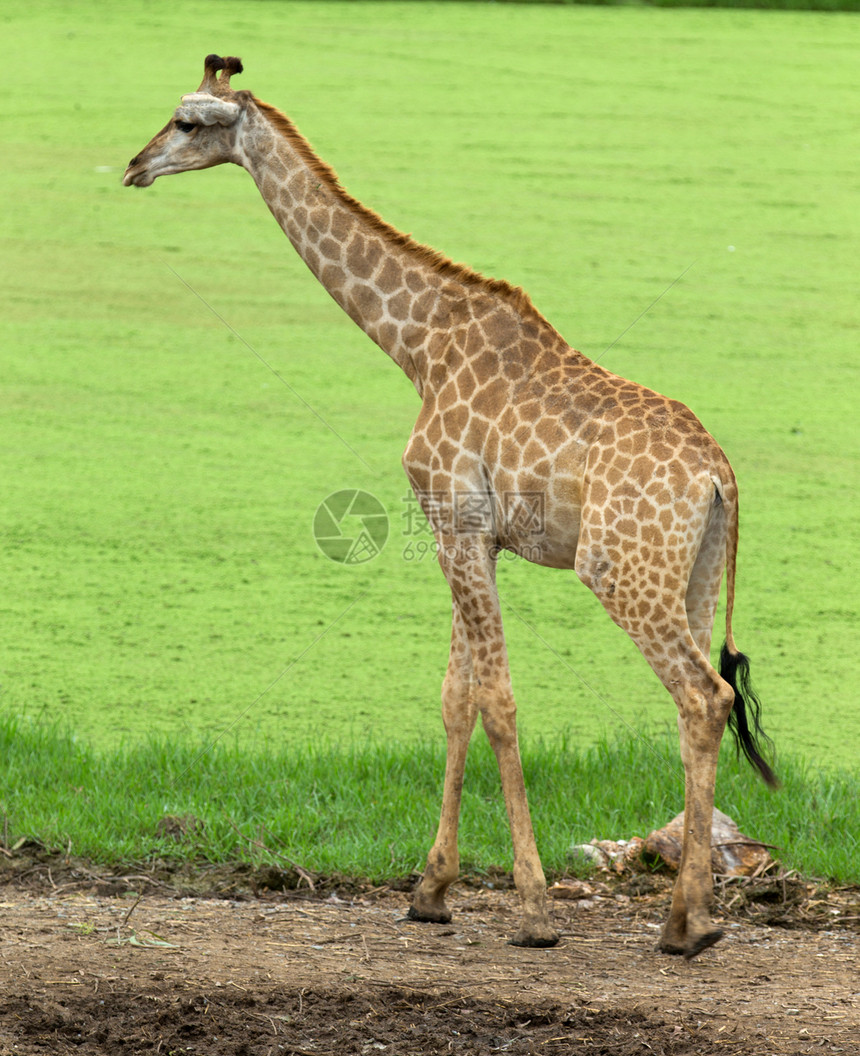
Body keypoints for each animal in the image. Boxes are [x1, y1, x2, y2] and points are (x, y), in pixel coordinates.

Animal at [124, 53, 777, 958]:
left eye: (187, 122)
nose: (134, 167)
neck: (417, 346)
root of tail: (720, 477)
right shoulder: (470, 534)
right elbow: (453, 697)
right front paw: (431, 890)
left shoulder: (454, 522)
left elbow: (496, 702)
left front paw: (533, 911)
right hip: (699, 571)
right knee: (703, 707)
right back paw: (702, 917)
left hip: (619, 568)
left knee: (702, 695)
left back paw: (682, 926)